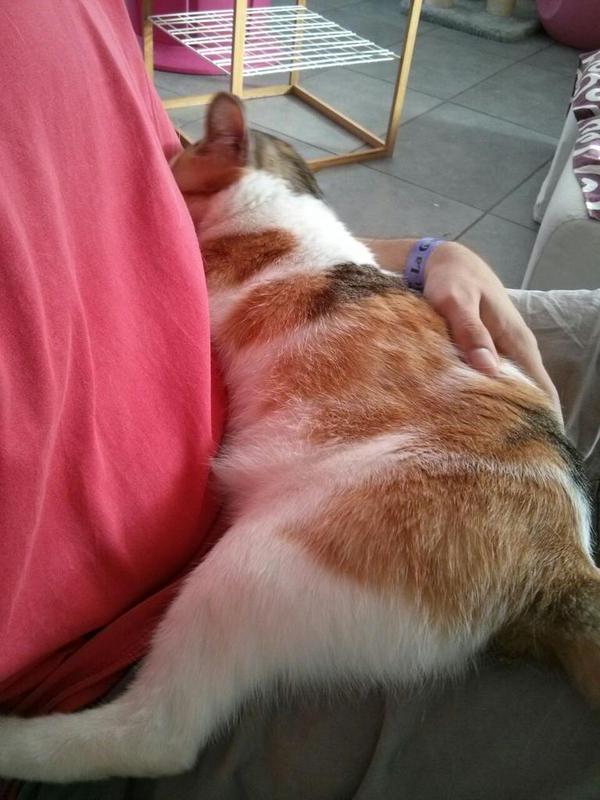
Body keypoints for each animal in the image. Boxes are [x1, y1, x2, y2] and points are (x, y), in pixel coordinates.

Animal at [0, 93, 598, 783]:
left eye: (177, 171)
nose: (165, 174)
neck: (284, 200)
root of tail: (564, 563)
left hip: (254, 568)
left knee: (158, 735)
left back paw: (17, 740)